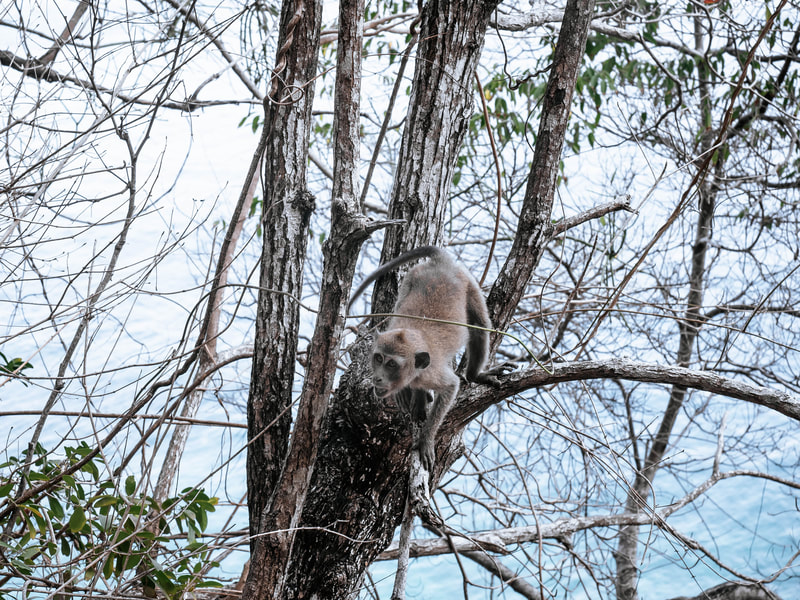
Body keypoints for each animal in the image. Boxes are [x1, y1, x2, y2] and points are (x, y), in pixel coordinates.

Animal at [346, 246, 504, 472]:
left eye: (392, 364)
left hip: (468, 281)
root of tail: (442, 263)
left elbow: (450, 386)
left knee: (481, 327)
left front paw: (426, 439)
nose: (377, 378)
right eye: (378, 358)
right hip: (412, 276)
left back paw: (476, 376)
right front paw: (407, 394)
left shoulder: (431, 373)